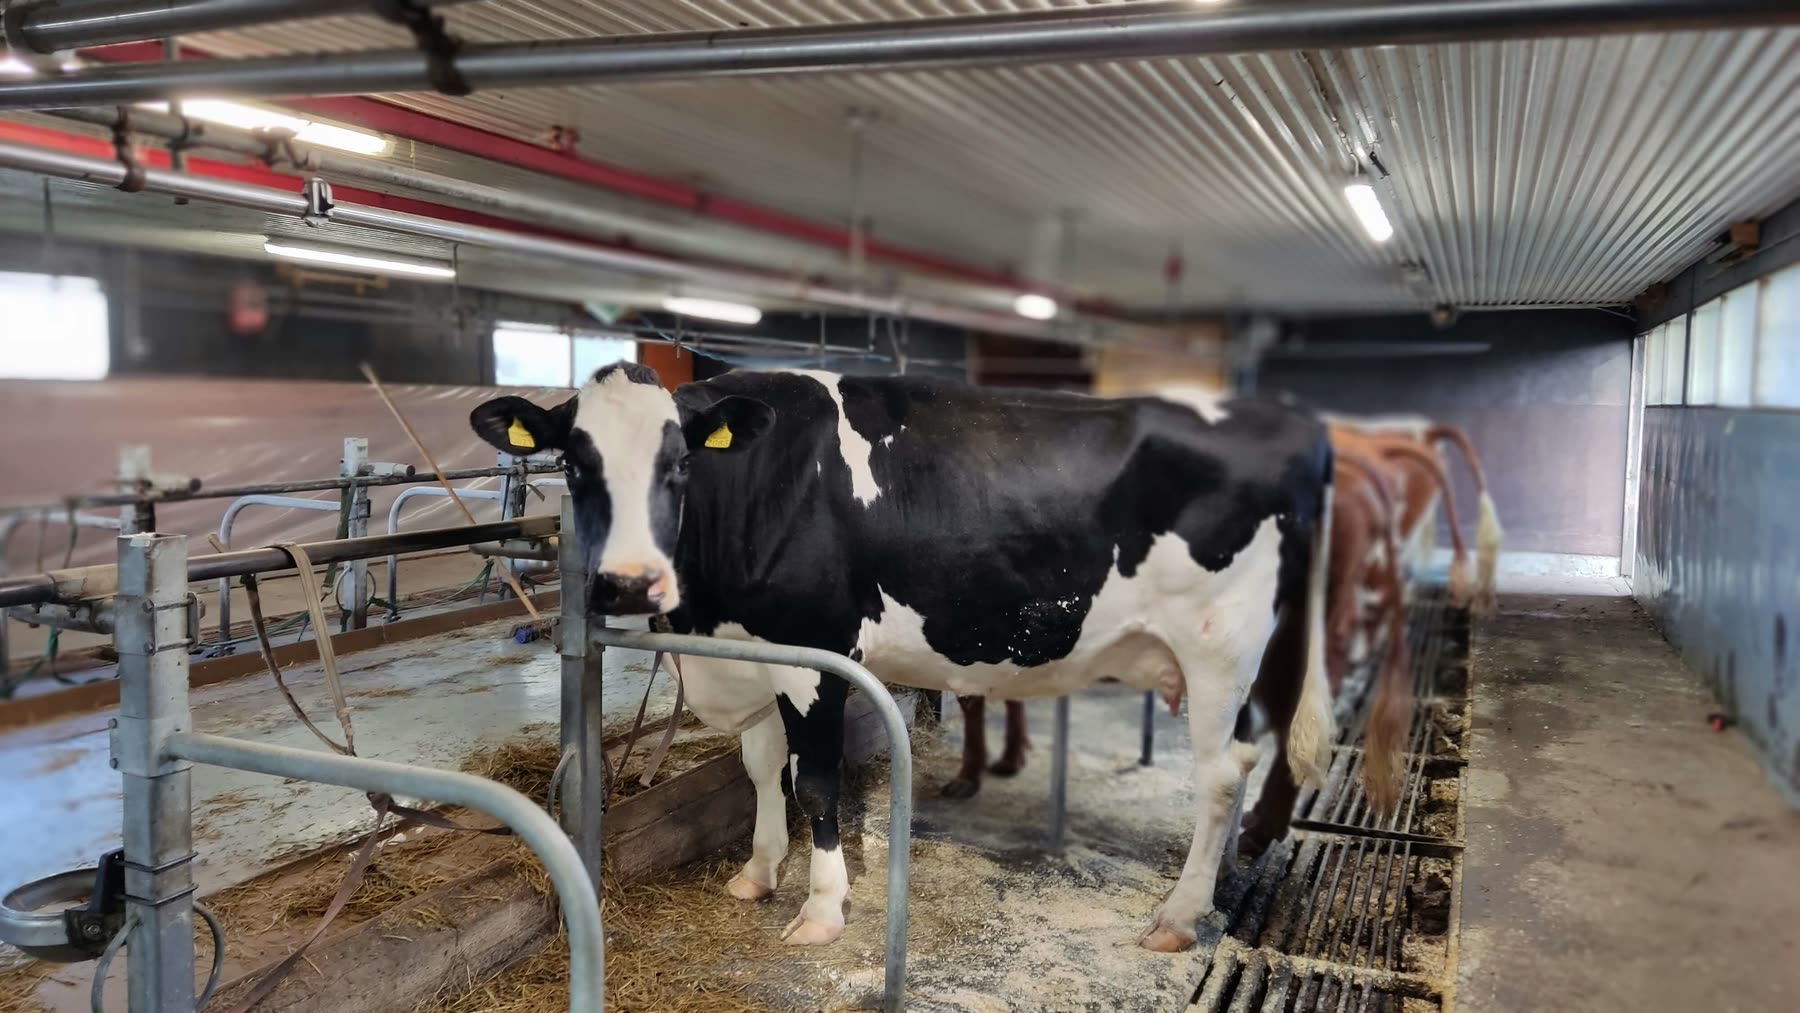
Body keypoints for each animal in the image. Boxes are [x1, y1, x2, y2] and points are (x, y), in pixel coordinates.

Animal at [469, 363, 1349, 953]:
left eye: (680, 462)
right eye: (573, 463)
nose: (625, 581)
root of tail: (1298, 423)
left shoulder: (814, 652)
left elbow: (814, 782)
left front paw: (821, 908)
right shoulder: (753, 648)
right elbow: (759, 766)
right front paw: (757, 870)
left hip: (1220, 641)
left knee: (1222, 770)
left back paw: (1177, 914)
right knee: (1248, 759)